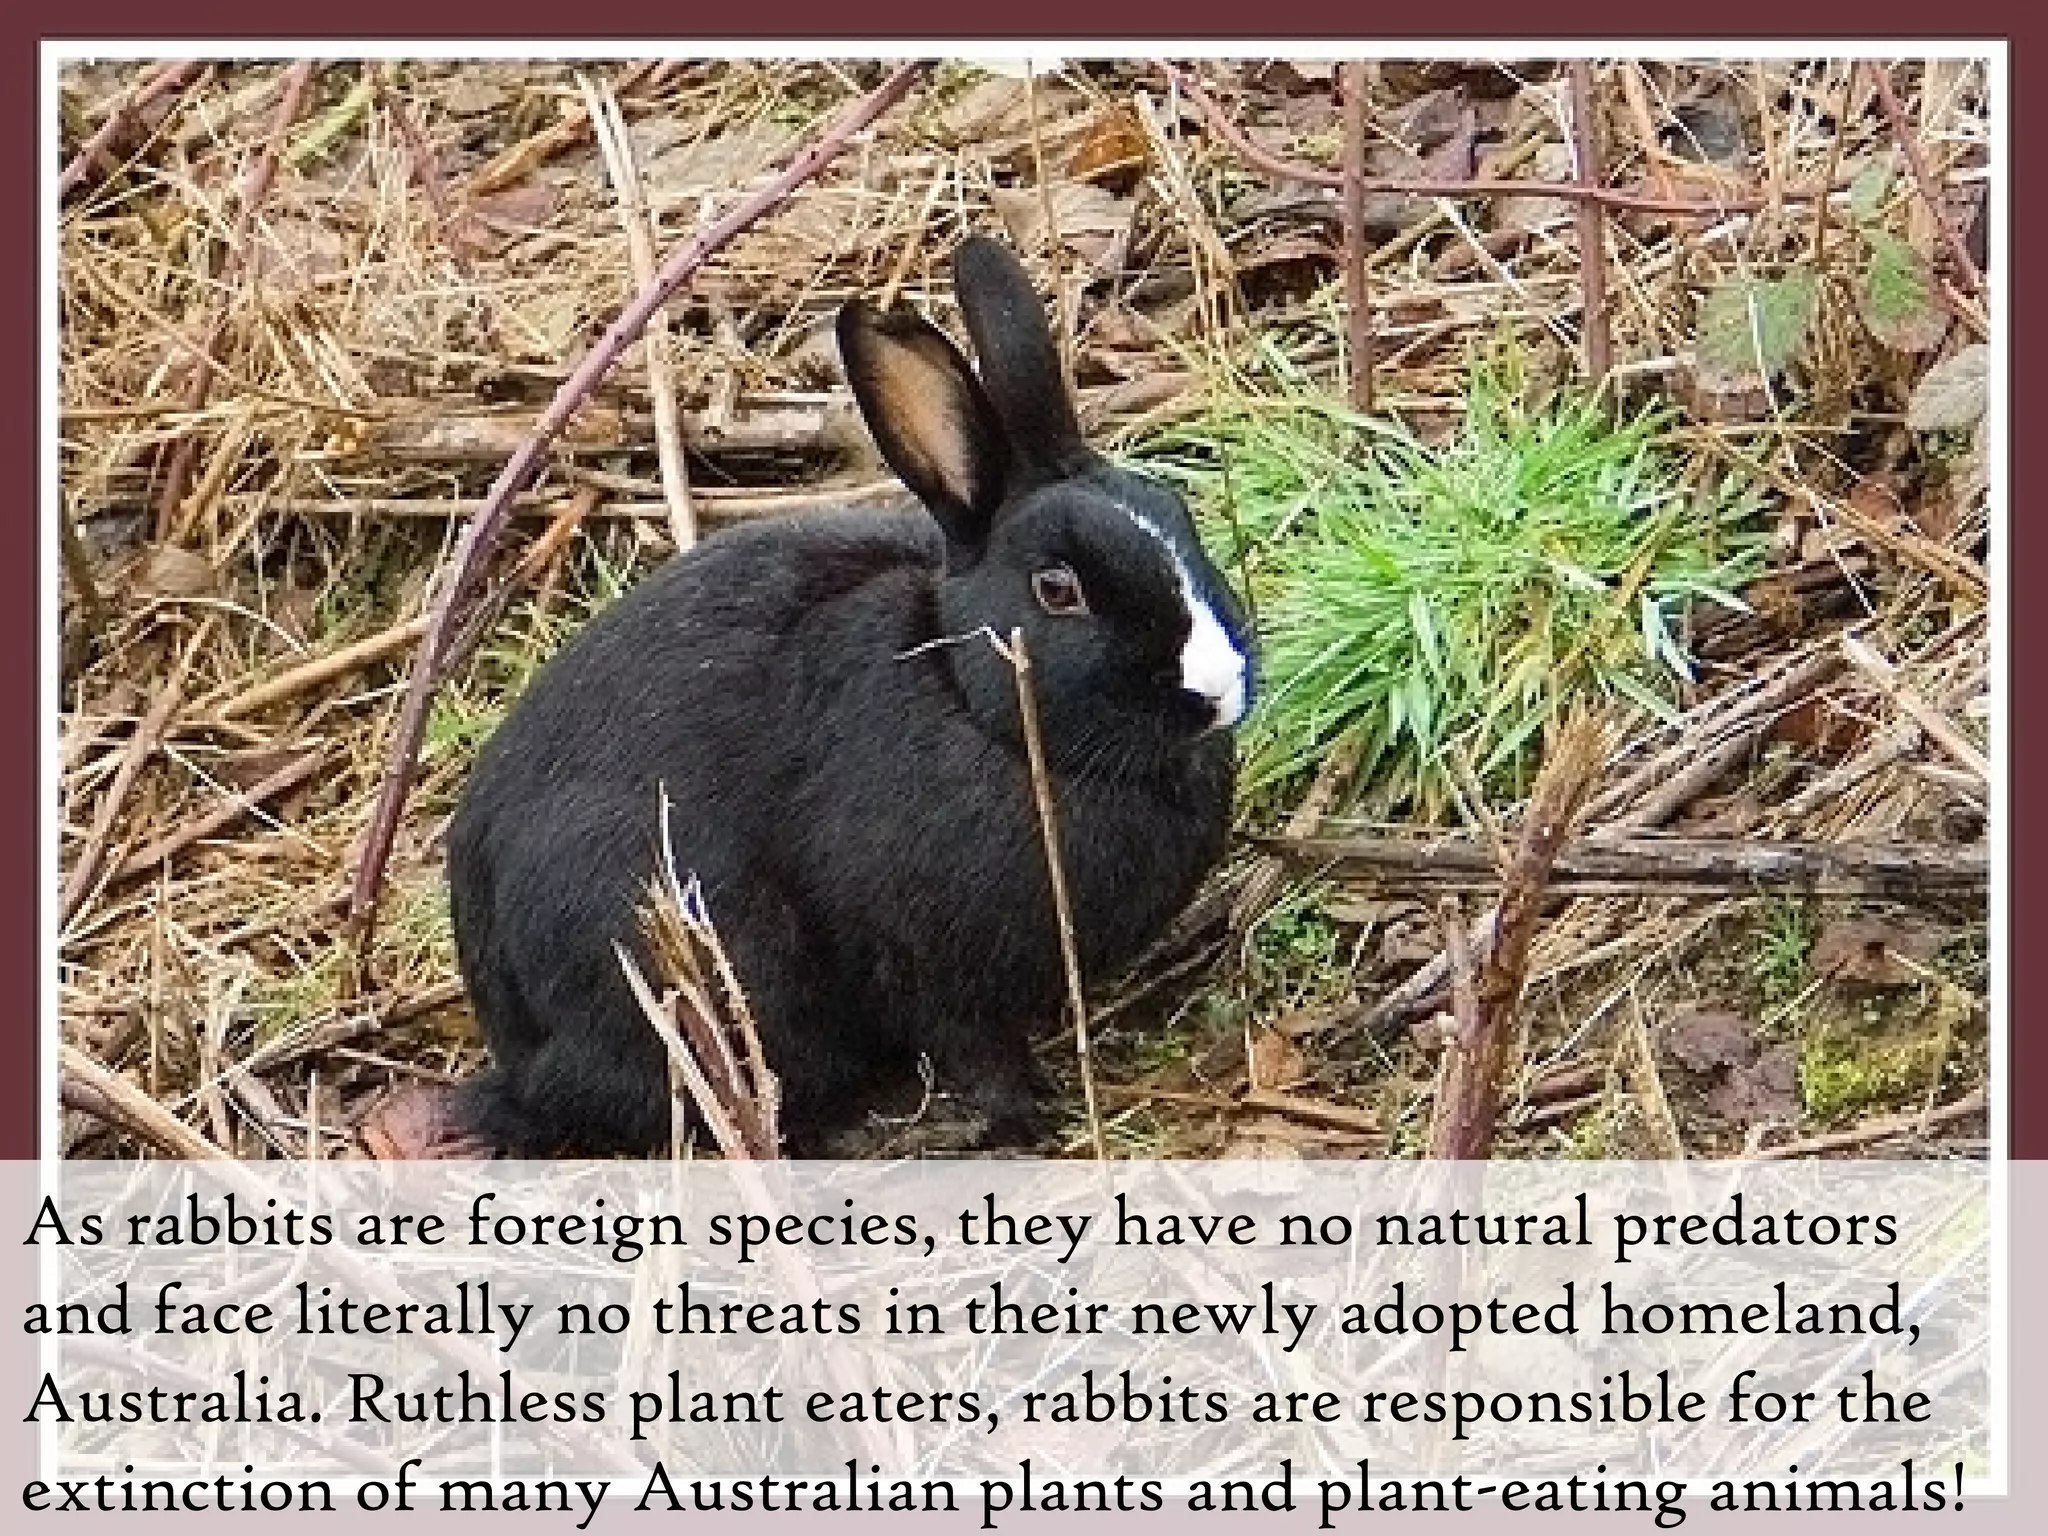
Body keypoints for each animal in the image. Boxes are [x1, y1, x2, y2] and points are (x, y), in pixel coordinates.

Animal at [446, 234, 1252, 1157]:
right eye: (1058, 591)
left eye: (1177, 512)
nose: (1217, 692)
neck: (973, 703)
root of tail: (514, 1039)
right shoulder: (931, 968)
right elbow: (973, 1045)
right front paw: (1027, 1117)